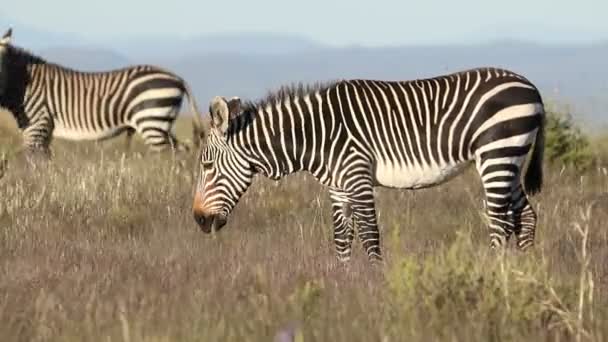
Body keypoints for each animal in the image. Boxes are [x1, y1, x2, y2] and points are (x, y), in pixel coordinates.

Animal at [0, 28, 204, 157]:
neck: (23, 85)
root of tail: (178, 78)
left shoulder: (37, 127)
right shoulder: (43, 132)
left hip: (152, 121)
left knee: (167, 157)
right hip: (161, 125)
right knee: (181, 151)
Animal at [192, 67, 544, 264]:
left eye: (207, 166)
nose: (198, 220)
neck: (314, 134)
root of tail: (530, 86)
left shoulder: (357, 176)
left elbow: (370, 235)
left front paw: (374, 286)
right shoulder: (337, 187)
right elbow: (341, 239)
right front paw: (344, 285)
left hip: (497, 153)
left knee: (500, 220)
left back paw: (496, 272)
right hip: (510, 159)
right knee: (525, 216)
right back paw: (523, 271)